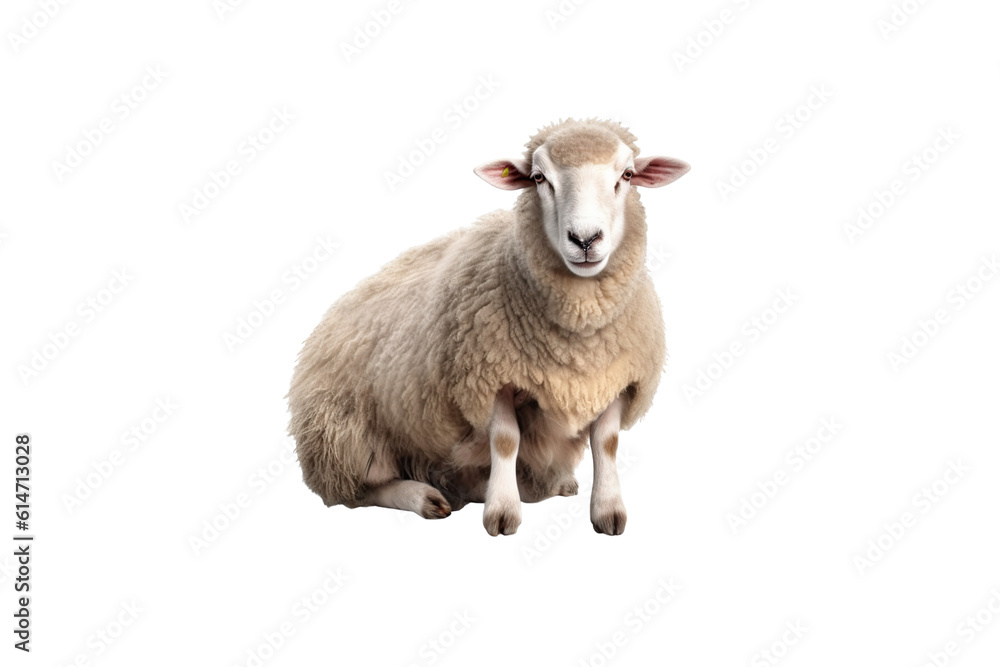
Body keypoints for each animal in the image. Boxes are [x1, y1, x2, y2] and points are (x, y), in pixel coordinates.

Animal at [288, 118, 689, 536]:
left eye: (627, 175)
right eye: (539, 177)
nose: (585, 239)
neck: (579, 332)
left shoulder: (619, 379)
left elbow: (606, 443)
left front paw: (608, 510)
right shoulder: (486, 378)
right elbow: (506, 441)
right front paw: (502, 511)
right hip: (343, 434)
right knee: (360, 490)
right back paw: (425, 497)